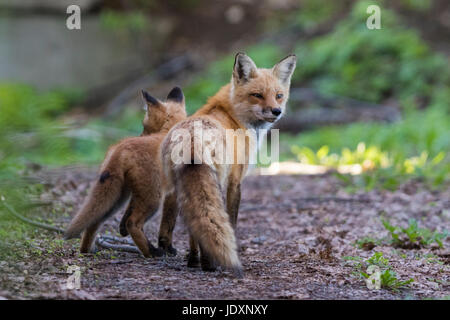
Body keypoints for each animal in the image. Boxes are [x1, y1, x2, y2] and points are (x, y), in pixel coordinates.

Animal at [64, 85, 187, 258]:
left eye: (144, 125)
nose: (140, 135)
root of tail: (121, 148)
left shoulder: (138, 193)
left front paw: (121, 229)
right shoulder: (173, 193)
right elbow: (168, 224)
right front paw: (168, 248)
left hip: (118, 196)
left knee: (96, 221)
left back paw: (86, 250)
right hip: (152, 199)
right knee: (133, 223)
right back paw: (152, 252)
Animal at [157, 52, 296, 276]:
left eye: (279, 95)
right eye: (257, 95)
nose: (276, 111)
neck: (232, 116)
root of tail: (192, 138)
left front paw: (192, 259)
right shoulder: (235, 181)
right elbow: (232, 221)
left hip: (178, 186)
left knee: (193, 222)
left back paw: (194, 260)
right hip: (215, 182)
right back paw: (209, 264)